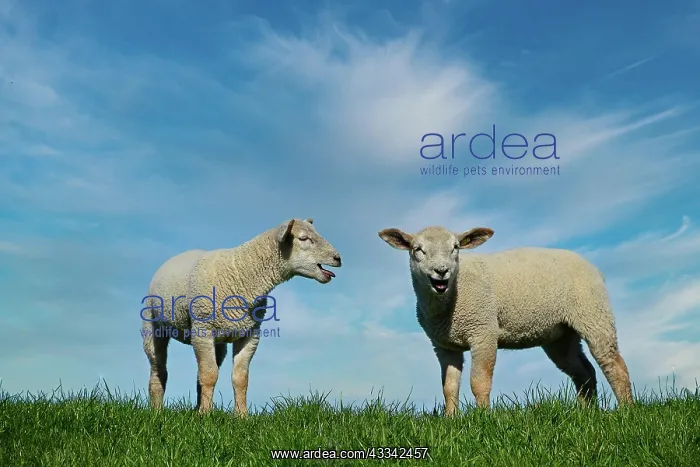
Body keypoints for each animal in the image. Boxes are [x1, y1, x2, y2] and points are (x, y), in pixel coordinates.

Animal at [141, 218, 342, 416]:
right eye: (303, 238)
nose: (338, 258)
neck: (241, 274)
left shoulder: (250, 334)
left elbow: (239, 378)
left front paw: (241, 416)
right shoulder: (202, 330)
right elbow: (209, 375)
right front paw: (205, 415)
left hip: (218, 343)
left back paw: (196, 407)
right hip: (153, 328)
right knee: (159, 370)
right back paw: (157, 411)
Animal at [378, 225, 634, 416]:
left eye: (456, 248)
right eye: (417, 249)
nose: (442, 271)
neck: (448, 299)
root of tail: (594, 268)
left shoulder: (484, 331)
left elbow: (479, 381)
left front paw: (483, 418)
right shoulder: (444, 345)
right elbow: (449, 386)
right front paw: (451, 419)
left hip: (593, 313)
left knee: (613, 363)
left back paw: (627, 410)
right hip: (561, 334)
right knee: (583, 371)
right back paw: (587, 413)